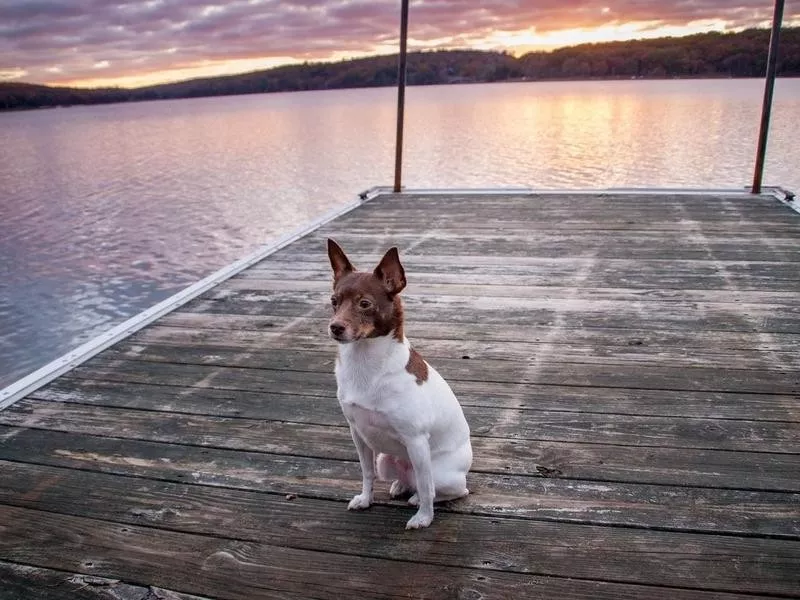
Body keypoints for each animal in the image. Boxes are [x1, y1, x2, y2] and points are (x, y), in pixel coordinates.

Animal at [326, 239, 472, 528]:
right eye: (334, 301)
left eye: (365, 304)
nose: (335, 327)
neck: (364, 362)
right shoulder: (357, 434)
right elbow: (366, 472)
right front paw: (365, 500)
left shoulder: (416, 441)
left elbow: (426, 488)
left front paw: (424, 518)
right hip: (386, 459)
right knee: (408, 481)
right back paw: (400, 486)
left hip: (438, 470)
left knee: (440, 488)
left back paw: (417, 500)